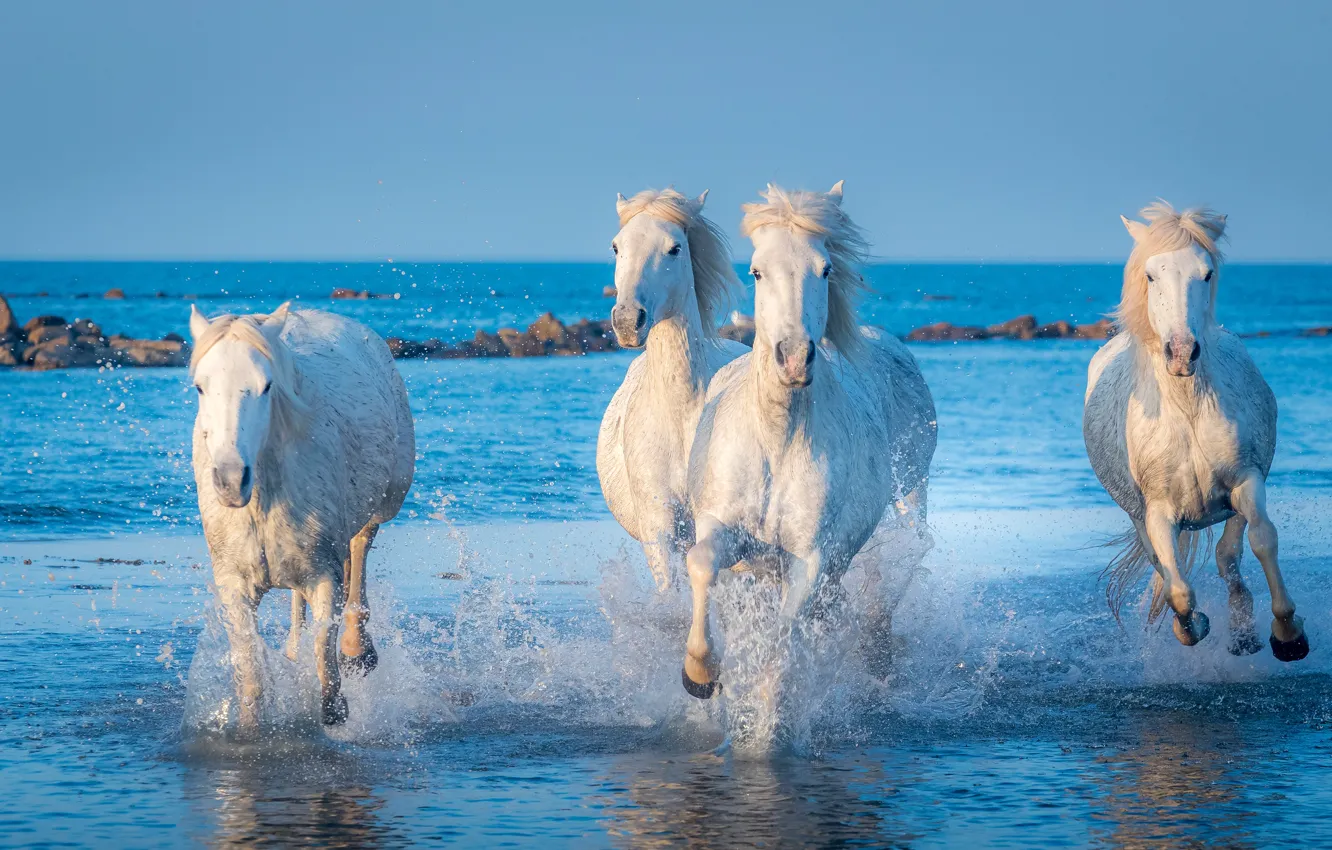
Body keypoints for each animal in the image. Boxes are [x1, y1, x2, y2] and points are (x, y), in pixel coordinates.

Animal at [188, 303, 416, 731]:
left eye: (266, 385)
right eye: (200, 387)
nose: (230, 480)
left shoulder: (324, 573)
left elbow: (325, 658)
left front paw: (336, 705)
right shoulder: (234, 584)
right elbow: (251, 673)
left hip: (385, 500)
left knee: (360, 547)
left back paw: (357, 649)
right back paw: (294, 649)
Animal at [680, 182, 937, 698]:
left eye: (825, 268)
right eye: (756, 271)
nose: (795, 358)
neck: (777, 443)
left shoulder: (811, 560)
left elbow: (784, 640)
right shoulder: (724, 527)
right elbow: (700, 562)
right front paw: (700, 672)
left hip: (911, 495)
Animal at [1084, 202, 1308, 661]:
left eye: (1206, 274)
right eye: (1151, 275)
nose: (1183, 353)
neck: (1186, 410)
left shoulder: (1246, 481)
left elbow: (1262, 541)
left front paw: (1287, 634)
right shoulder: (1156, 512)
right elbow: (1178, 589)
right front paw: (1192, 627)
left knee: (1228, 556)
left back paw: (1243, 632)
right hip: (1137, 515)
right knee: (1167, 566)